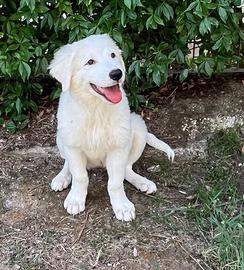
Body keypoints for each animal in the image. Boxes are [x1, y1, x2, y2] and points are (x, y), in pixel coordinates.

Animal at [48, 34, 174, 221]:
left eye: (113, 55)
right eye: (90, 62)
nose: (117, 73)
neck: (95, 108)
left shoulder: (118, 147)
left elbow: (115, 182)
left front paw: (122, 206)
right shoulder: (72, 145)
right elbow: (80, 176)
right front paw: (76, 199)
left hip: (137, 128)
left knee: (127, 168)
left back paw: (142, 182)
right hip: (61, 137)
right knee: (67, 164)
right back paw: (62, 178)